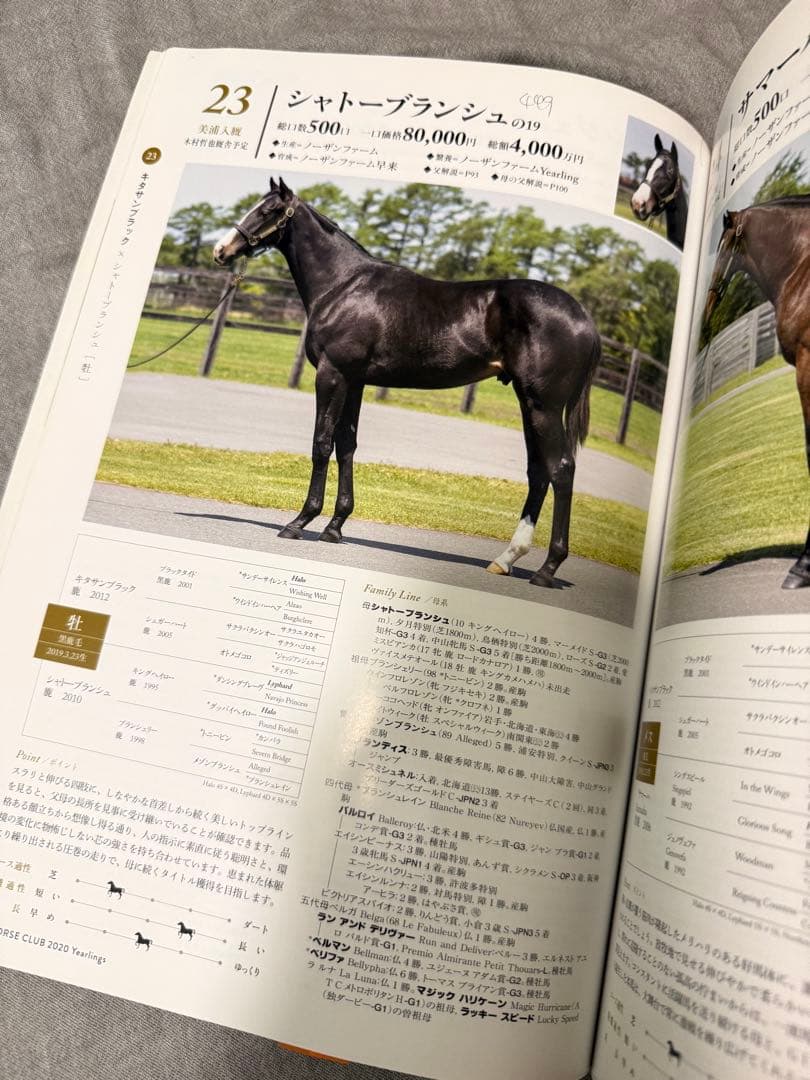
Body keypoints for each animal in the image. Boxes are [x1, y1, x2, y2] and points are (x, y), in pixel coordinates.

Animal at [213, 178, 600, 588]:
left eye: (268, 210)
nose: (221, 250)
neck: (343, 286)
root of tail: (584, 320)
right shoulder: (355, 381)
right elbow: (346, 445)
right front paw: (335, 526)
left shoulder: (332, 375)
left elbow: (321, 444)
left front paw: (301, 521)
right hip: (529, 402)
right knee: (538, 470)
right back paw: (506, 558)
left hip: (544, 406)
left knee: (561, 468)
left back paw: (547, 568)